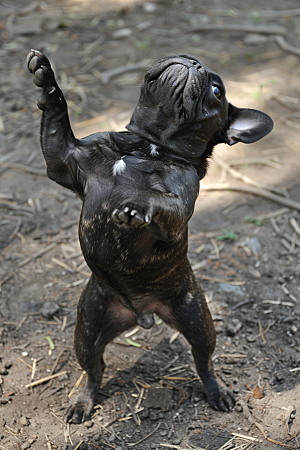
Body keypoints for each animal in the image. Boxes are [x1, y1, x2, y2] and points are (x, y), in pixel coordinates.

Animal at [27, 51, 274, 424]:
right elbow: (57, 116)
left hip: (197, 320)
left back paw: (217, 392)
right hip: (87, 327)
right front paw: (47, 79)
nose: (193, 63)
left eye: (217, 91)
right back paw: (83, 402)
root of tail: (142, 313)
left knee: (203, 360)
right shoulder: (64, 158)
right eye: (186, 55)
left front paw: (137, 204)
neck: (147, 146)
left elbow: (162, 201)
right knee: (94, 368)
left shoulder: (178, 205)